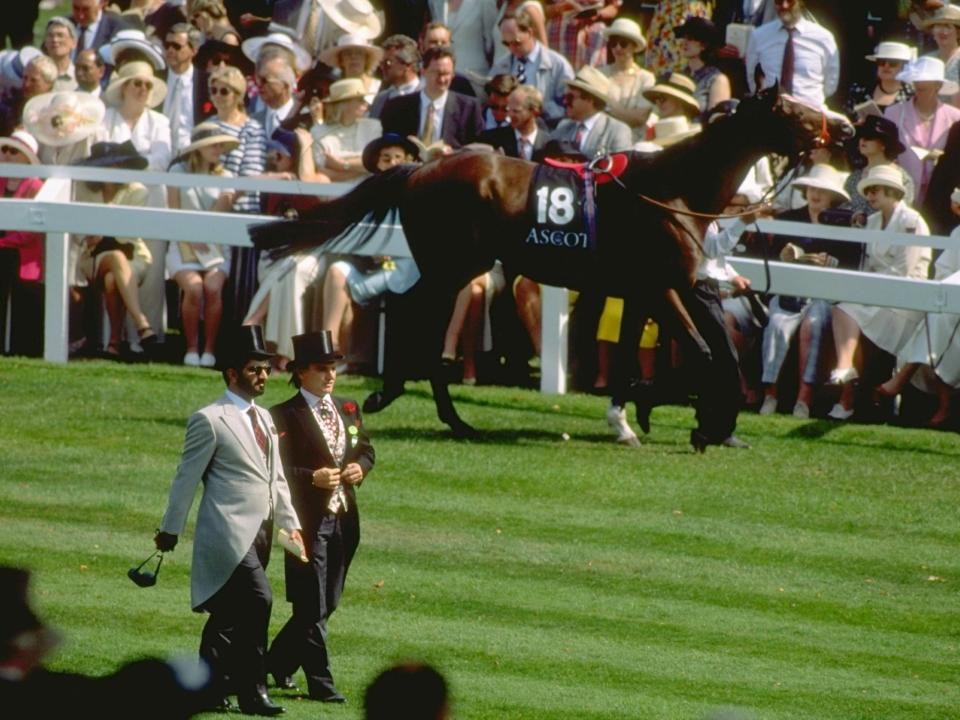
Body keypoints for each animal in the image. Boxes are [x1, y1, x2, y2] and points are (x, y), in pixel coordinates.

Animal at [251, 84, 852, 444]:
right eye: (792, 109)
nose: (844, 128)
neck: (673, 191)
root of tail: (422, 167)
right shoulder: (663, 286)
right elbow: (702, 353)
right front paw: (694, 424)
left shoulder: (642, 291)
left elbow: (638, 356)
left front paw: (630, 417)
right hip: (452, 265)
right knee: (416, 318)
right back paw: (426, 407)